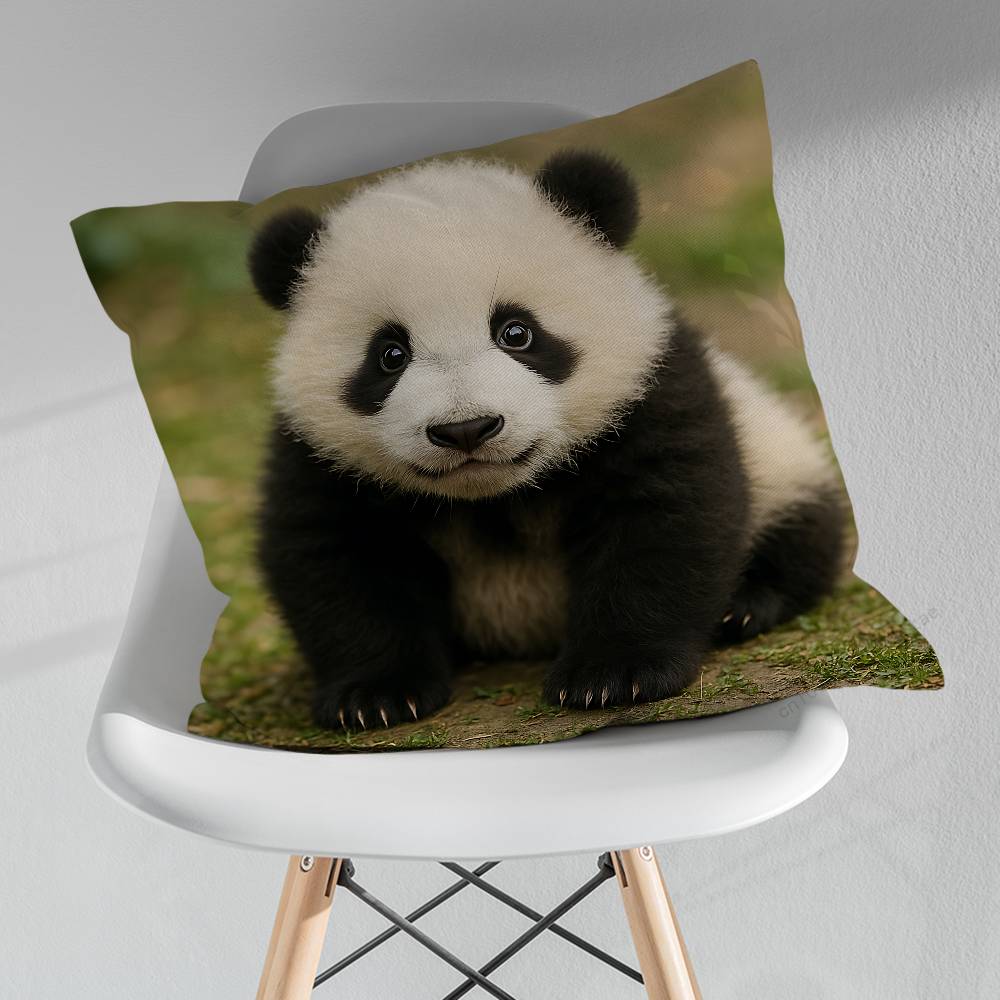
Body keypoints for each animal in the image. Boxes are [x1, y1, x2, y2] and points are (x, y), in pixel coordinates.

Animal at [248, 149, 846, 731]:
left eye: (516, 331)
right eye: (390, 354)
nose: (466, 429)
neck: (496, 498)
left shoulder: (651, 392)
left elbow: (664, 518)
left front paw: (614, 674)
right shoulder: (317, 456)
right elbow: (339, 559)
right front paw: (375, 695)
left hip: (780, 457)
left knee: (802, 531)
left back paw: (743, 604)